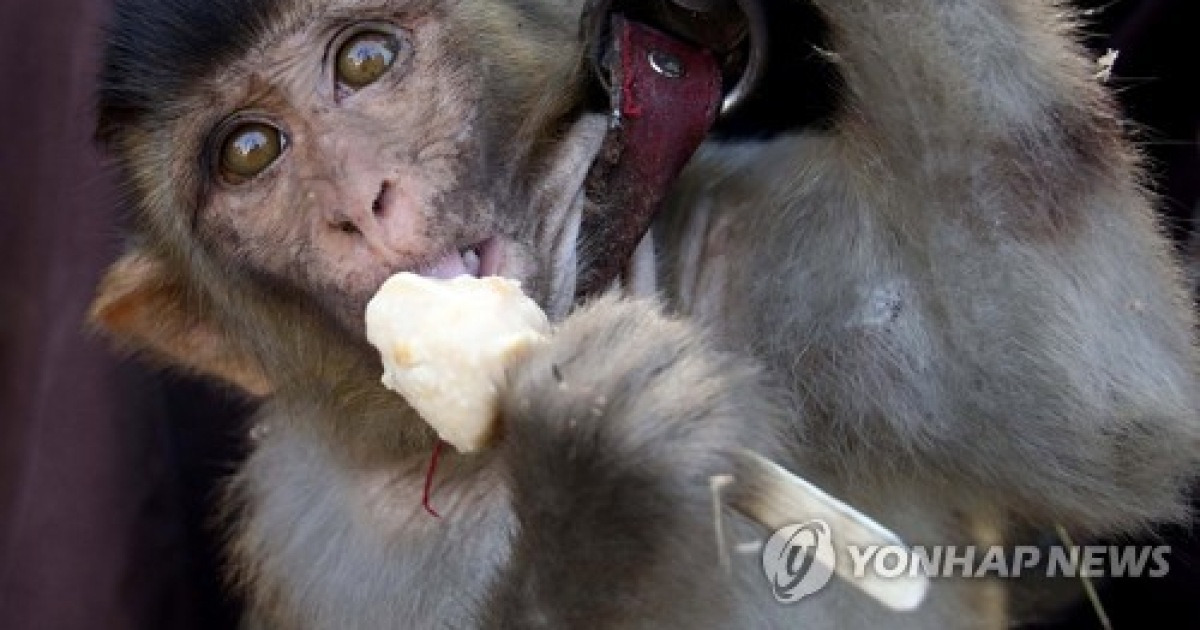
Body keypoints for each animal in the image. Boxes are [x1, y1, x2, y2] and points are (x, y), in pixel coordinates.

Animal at [89, 0, 1200, 628]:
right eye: (249, 153)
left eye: (364, 62)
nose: (362, 202)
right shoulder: (303, 533)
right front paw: (599, 470)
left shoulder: (746, 242)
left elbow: (1102, 403)